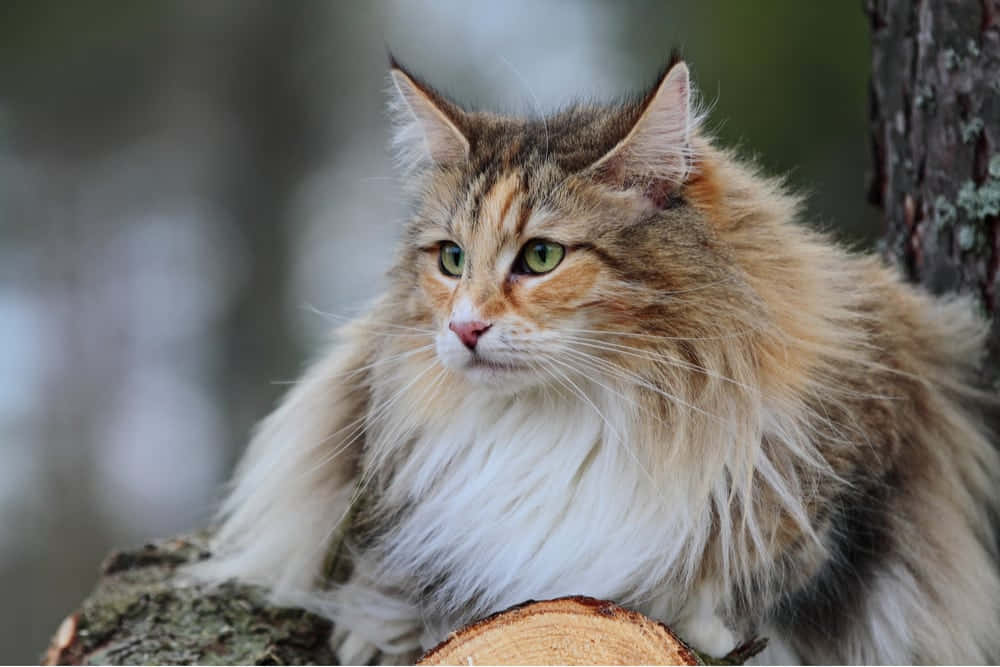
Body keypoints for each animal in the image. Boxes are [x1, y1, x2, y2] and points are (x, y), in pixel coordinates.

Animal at [195, 54, 1000, 664]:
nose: (464, 327)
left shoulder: (867, 461)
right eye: (452, 259)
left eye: (541, 257)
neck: (578, 418)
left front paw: (707, 621)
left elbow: (770, 581)